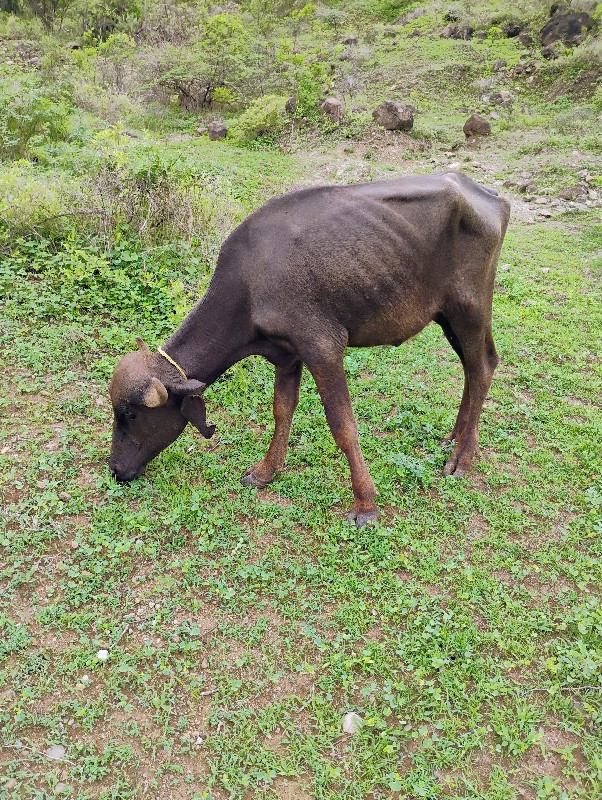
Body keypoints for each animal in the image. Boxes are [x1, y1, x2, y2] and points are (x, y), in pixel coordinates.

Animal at [108, 173, 506, 524]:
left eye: (130, 415)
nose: (115, 469)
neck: (250, 285)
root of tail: (487, 195)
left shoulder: (324, 347)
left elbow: (344, 427)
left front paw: (365, 504)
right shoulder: (287, 355)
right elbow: (282, 410)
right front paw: (266, 470)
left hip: (470, 308)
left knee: (483, 366)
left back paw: (463, 457)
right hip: (446, 316)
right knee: (470, 369)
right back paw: (455, 438)